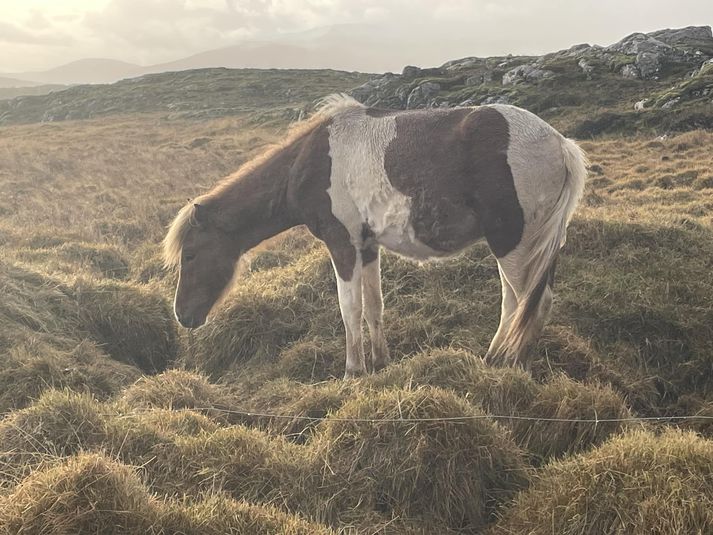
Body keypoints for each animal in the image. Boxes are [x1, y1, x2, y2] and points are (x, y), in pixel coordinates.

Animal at [164, 97, 588, 382]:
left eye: (191, 255)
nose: (182, 316)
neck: (310, 163)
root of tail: (560, 144)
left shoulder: (342, 243)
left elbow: (349, 309)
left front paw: (353, 371)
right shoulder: (366, 246)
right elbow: (374, 307)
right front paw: (380, 363)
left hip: (513, 243)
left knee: (529, 303)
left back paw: (513, 368)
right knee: (517, 303)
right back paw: (494, 359)